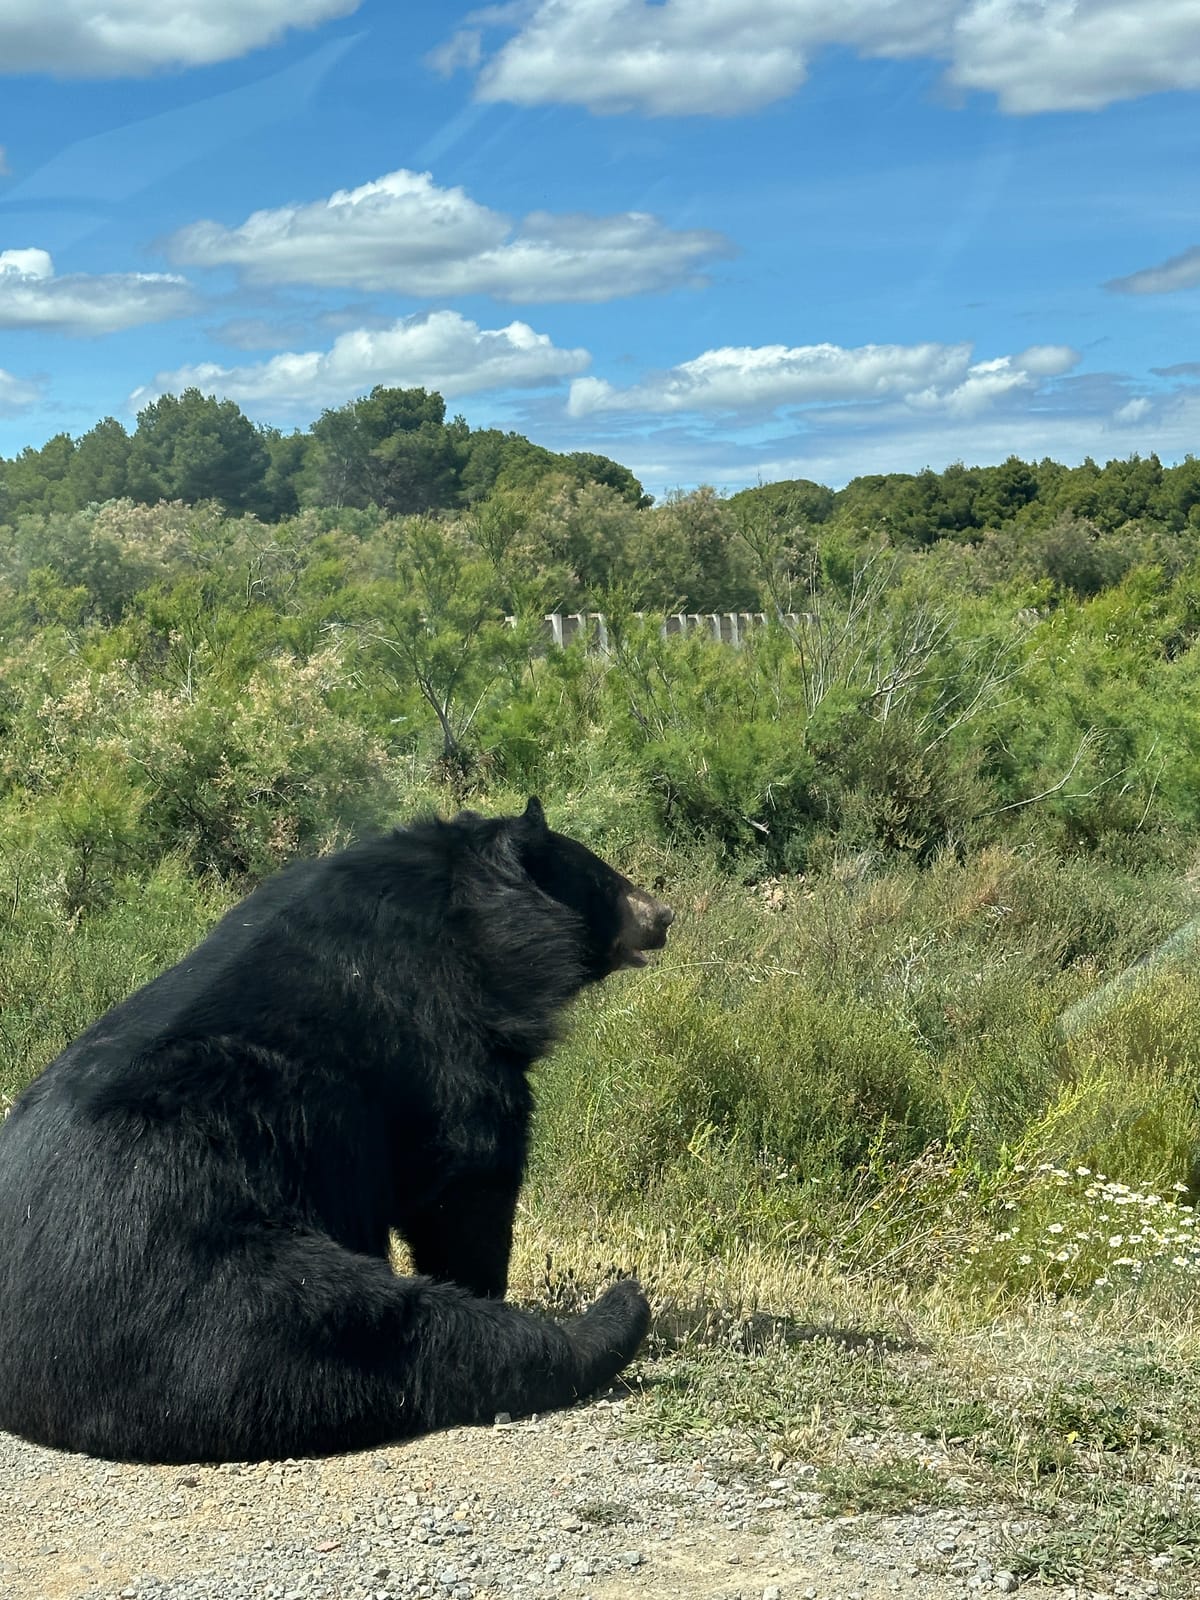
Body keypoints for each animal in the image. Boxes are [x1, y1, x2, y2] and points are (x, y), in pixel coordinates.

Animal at [0, 797, 672, 1464]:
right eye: (602, 878)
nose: (661, 914)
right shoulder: (441, 1032)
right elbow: (470, 1172)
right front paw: (483, 1278)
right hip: (205, 1277)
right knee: (394, 1332)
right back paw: (614, 1314)